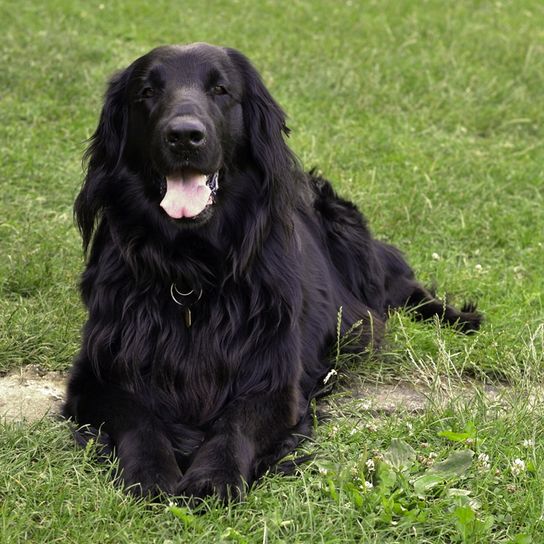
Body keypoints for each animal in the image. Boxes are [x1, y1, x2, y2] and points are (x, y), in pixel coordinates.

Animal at [63, 43, 480, 502]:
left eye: (221, 90)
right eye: (147, 92)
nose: (185, 136)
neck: (191, 272)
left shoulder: (276, 381)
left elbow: (235, 425)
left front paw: (214, 476)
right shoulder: (94, 376)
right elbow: (139, 419)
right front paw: (153, 472)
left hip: (349, 233)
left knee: (401, 287)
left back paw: (458, 317)